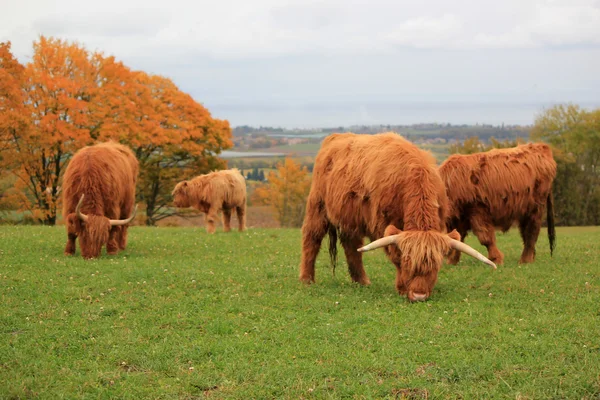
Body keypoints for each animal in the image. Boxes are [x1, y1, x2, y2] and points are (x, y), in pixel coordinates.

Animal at [298, 133, 494, 302]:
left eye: (436, 265)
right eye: (408, 263)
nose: (419, 295)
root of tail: (335, 136)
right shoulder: (385, 225)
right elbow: (395, 254)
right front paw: (401, 288)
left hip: (350, 218)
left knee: (352, 245)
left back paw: (361, 281)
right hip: (317, 206)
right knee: (312, 238)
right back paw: (307, 279)